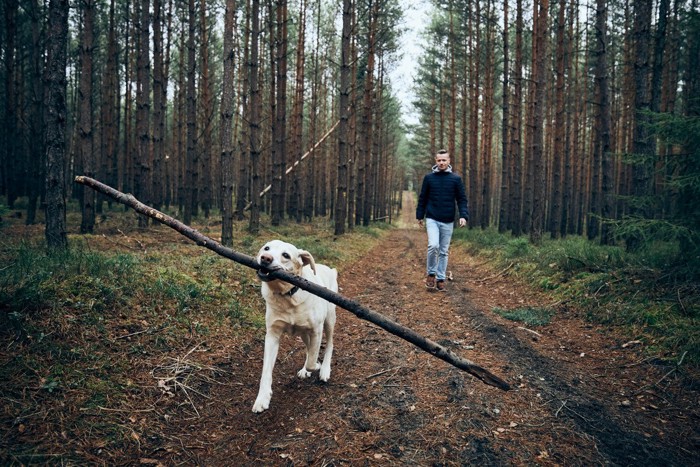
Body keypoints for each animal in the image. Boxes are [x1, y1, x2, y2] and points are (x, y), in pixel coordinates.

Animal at [252, 241, 340, 414]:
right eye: (266, 248)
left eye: (286, 255)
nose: (265, 258)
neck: (288, 296)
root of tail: (329, 269)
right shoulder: (272, 335)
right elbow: (266, 370)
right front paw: (263, 397)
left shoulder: (316, 330)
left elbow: (312, 361)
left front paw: (317, 366)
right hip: (303, 333)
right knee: (308, 348)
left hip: (329, 319)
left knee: (330, 344)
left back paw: (325, 369)